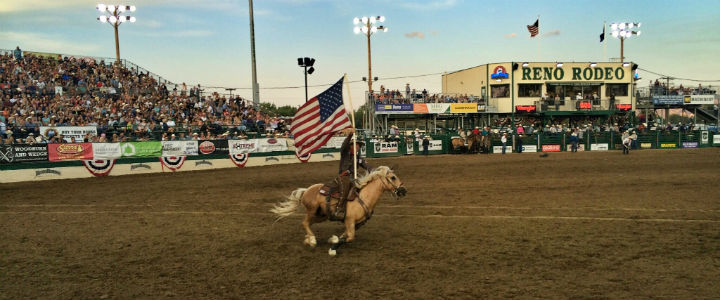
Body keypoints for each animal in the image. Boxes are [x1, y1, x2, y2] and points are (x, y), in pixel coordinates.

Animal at [270, 166, 404, 255]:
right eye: (393, 177)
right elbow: (350, 237)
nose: (404, 191)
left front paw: (333, 241)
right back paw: (312, 240)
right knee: (305, 222)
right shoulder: (349, 221)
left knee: (308, 223)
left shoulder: (357, 224)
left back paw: (308, 239)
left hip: (322, 215)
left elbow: (345, 236)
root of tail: (306, 190)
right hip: (312, 211)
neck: (364, 197)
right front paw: (333, 246)